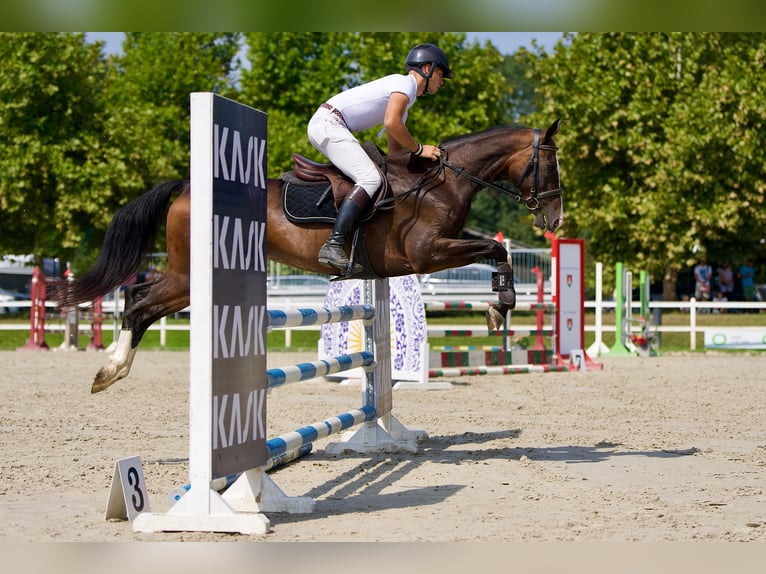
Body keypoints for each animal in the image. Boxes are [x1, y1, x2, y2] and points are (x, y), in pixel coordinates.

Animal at [57, 119, 564, 394]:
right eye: (551, 164)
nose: (556, 219)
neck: (441, 182)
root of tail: (184, 186)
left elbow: (493, 248)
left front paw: (498, 308)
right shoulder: (427, 254)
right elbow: (495, 247)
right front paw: (501, 306)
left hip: (184, 277)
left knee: (138, 297)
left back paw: (111, 368)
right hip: (187, 275)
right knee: (139, 303)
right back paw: (110, 370)